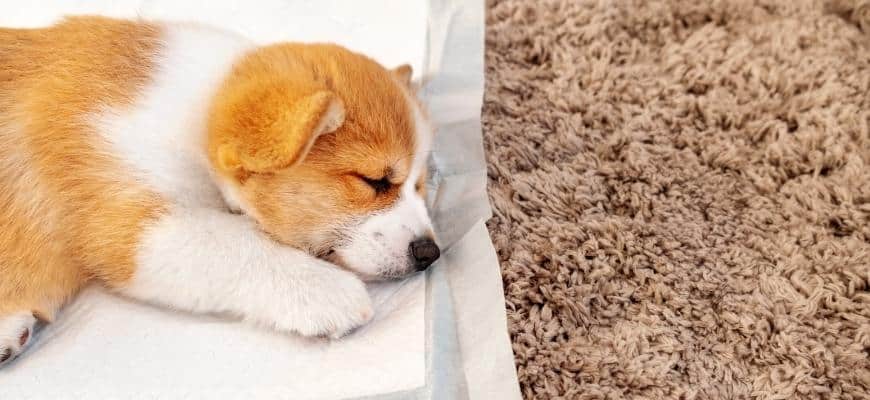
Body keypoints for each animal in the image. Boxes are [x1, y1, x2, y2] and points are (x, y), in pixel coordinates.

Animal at [0, 15, 440, 366]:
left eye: (419, 185)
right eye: (374, 182)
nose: (429, 253)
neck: (195, 114)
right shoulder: (128, 225)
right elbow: (235, 244)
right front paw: (326, 290)